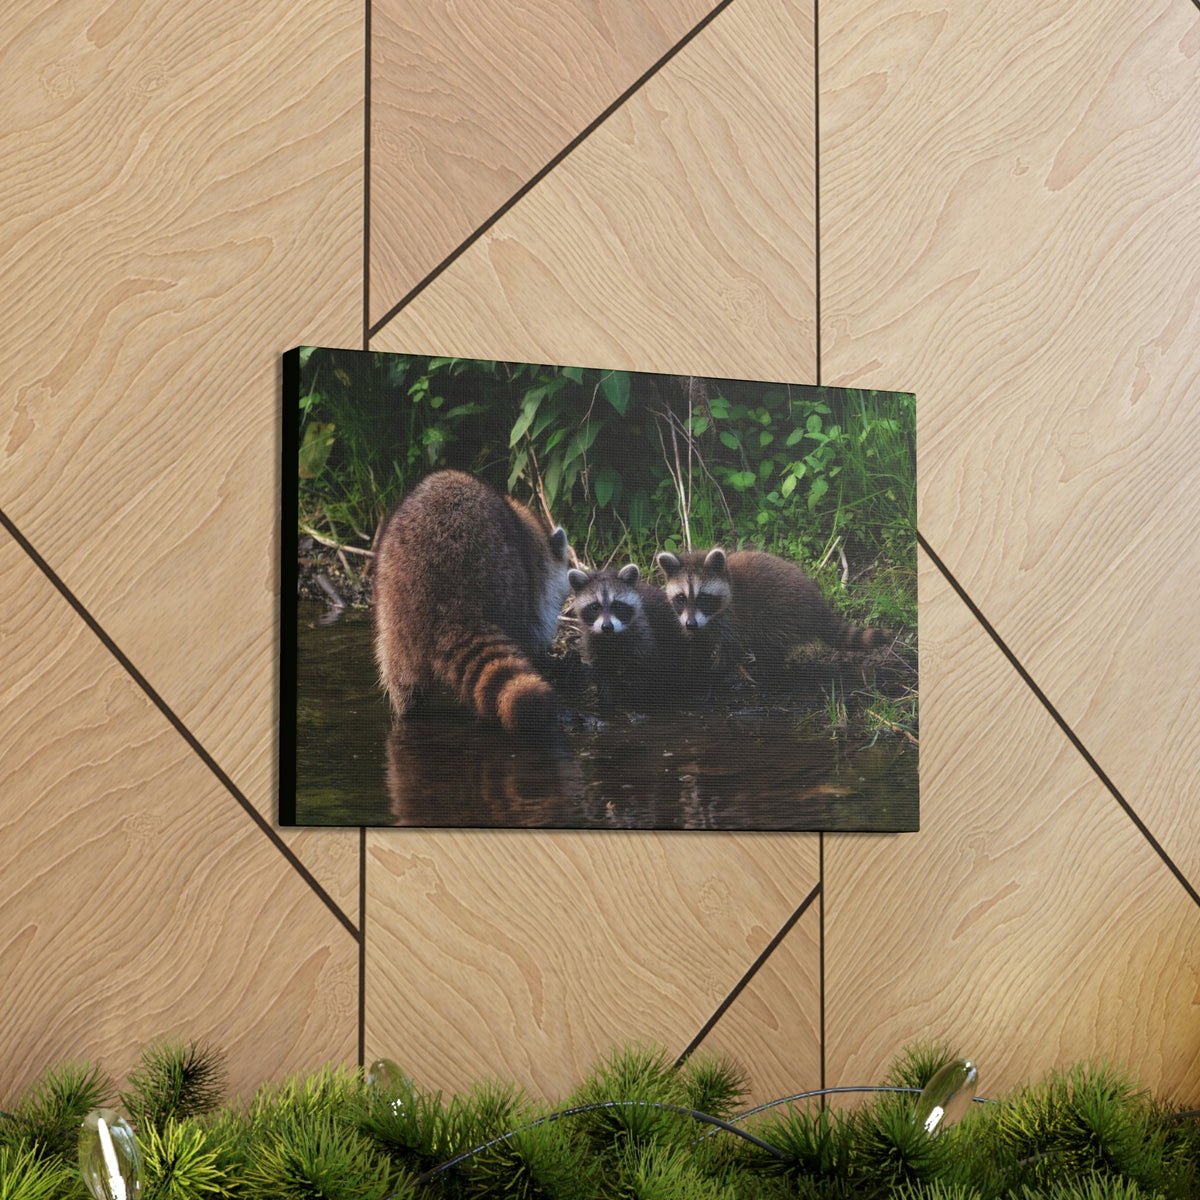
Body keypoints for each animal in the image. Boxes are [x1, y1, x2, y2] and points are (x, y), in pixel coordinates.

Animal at [373, 470, 571, 734]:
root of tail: (445, 604)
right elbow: (534, 625)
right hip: (505, 579)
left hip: (392, 617)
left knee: (401, 682)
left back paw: (409, 712)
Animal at [568, 563, 689, 708]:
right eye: (595, 607)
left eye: (617, 605)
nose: (607, 626)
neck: (611, 637)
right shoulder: (593, 642)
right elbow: (603, 672)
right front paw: (606, 700)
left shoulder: (643, 637)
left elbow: (642, 671)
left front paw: (634, 701)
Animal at [656, 547, 881, 685]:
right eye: (681, 598)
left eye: (703, 598)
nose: (691, 624)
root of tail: (816, 604)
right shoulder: (694, 622)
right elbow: (699, 645)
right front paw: (695, 668)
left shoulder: (733, 617)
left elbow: (733, 649)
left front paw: (712, 674)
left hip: (781, 613)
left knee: (767, 642)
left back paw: (766, 673)